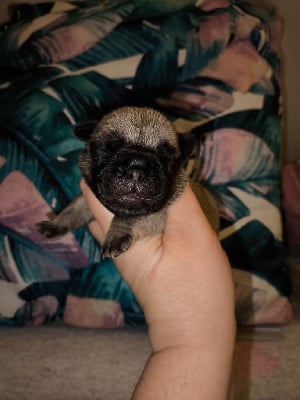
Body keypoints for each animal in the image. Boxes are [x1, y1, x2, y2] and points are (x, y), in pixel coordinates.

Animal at [36, 105, 186, 256]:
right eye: (107, 150)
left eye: (165, 159)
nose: (136, 170)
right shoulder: (88, 197)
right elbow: (74, 209)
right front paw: (55, 223)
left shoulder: (159, 212)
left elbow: (132, 217)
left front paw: (117, 233)